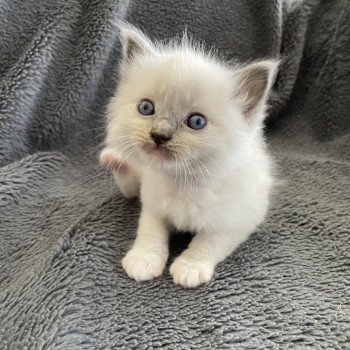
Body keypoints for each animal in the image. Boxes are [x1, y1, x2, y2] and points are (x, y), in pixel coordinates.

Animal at [100, 23, 278, 288]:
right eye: (146, 108)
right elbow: (150, 233)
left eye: (196, 122)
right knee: (129, 184)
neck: (182, 181)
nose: (159, 135)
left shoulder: (238, 220)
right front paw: (143, 261)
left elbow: (207, 242)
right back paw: (113, 160)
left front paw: (190, 268)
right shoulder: (153, 207)